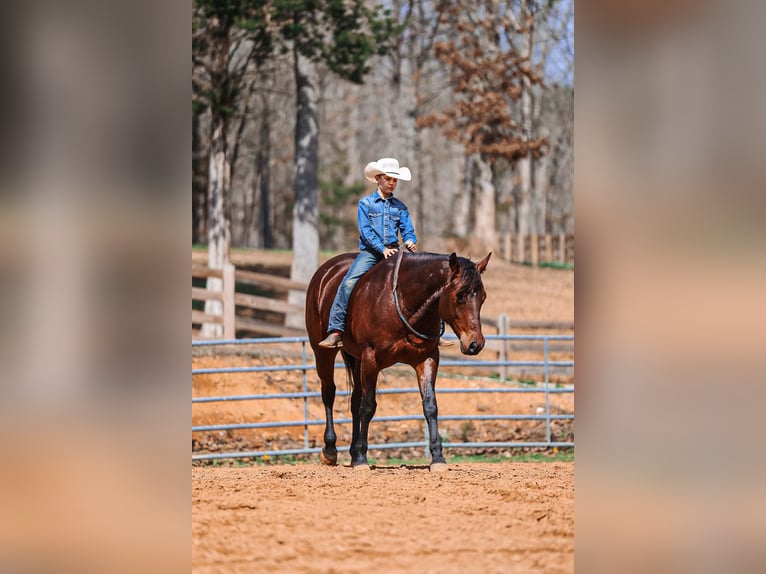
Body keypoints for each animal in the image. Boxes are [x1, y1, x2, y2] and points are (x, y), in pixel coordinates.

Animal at [305, 249, 491, 472]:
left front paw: (438, 458)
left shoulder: (427, 359)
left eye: (483, 297)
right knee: (329, 393)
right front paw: (362, 459)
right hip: (323, 353)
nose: (475, 344)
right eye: (460, 295)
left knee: (355, 399)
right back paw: (331, 450)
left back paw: (351, 453)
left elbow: (430, 406)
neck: (403, 302)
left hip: (357, 360)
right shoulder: (371, 359)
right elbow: (368, 406)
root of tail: (324, 272)